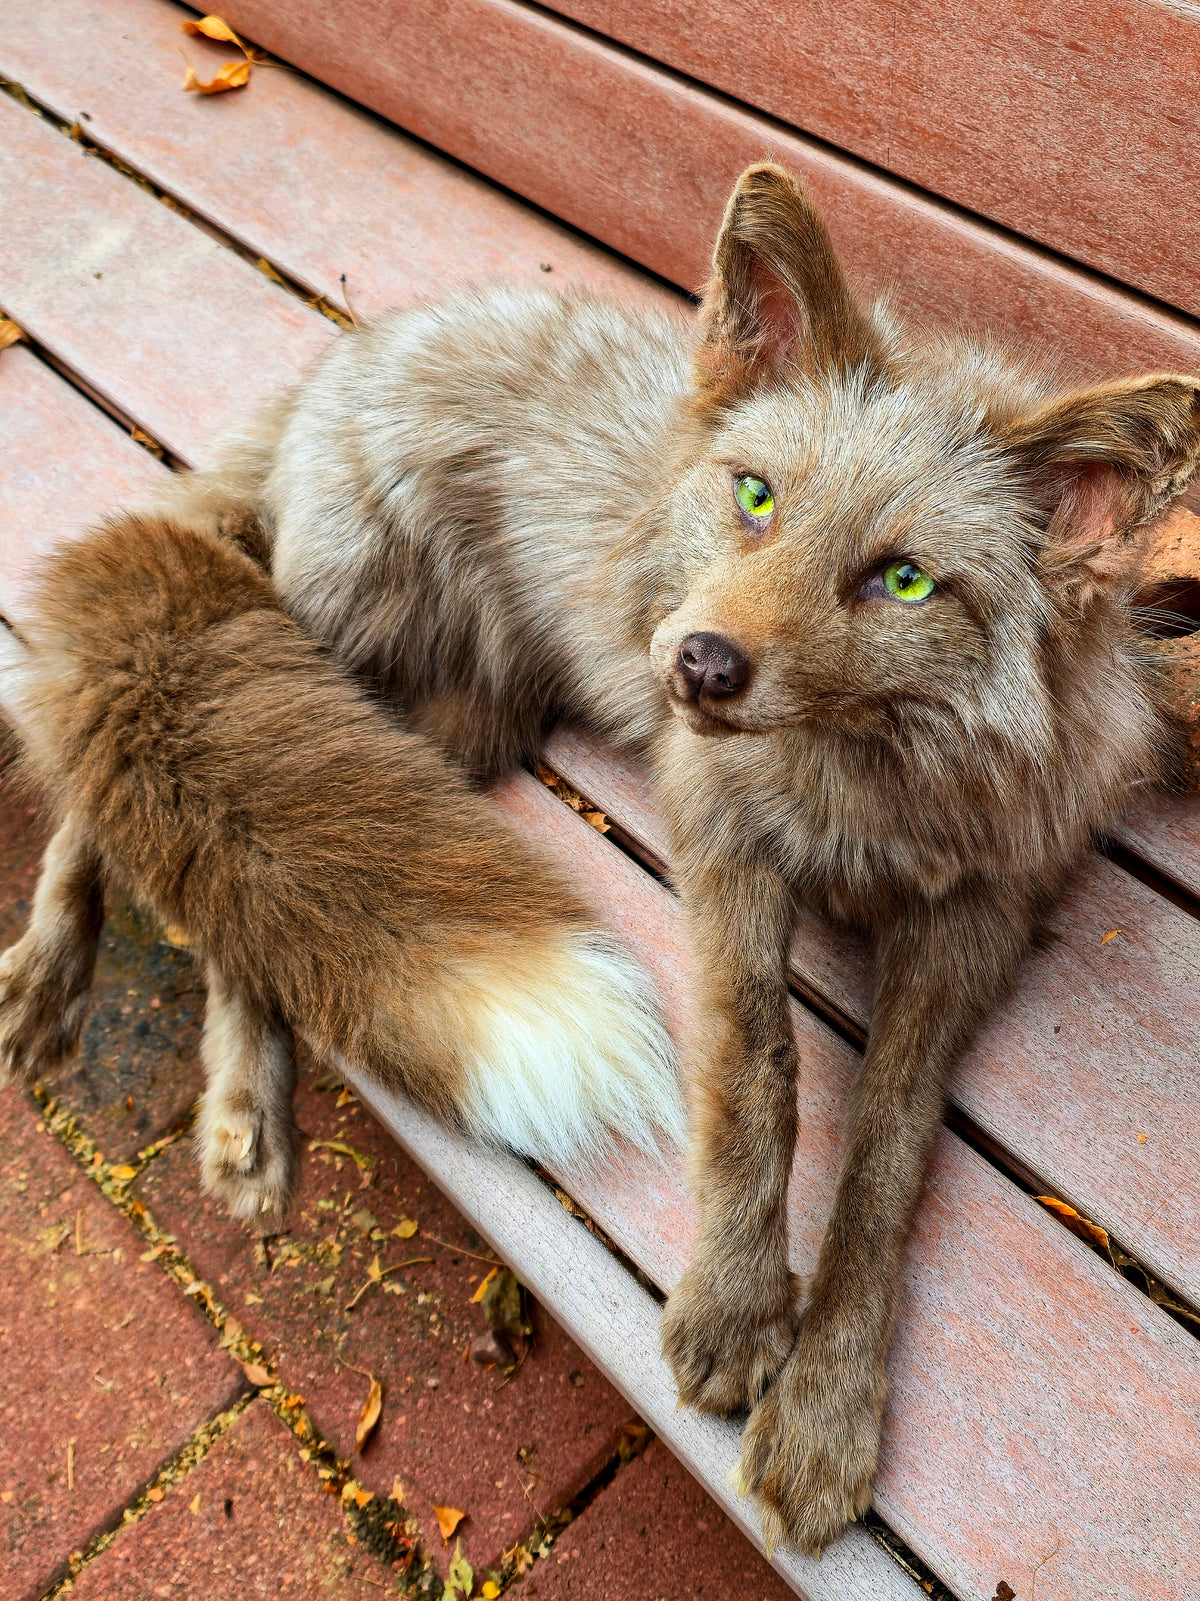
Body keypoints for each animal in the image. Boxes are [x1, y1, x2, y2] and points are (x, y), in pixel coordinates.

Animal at [3, 161, 1198, 1555]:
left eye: (903, 580)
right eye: (755, 495)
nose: (700, 663)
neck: (862, 789)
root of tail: (356, 349)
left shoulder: (981, 913)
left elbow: (890, 1146)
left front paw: (829, 1397)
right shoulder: (718, 825)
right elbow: (761, 1069)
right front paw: (735, 1302)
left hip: (448, 729)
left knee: (247, 867)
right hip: (329, 648)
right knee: (133, 778)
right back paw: (109, 1017)